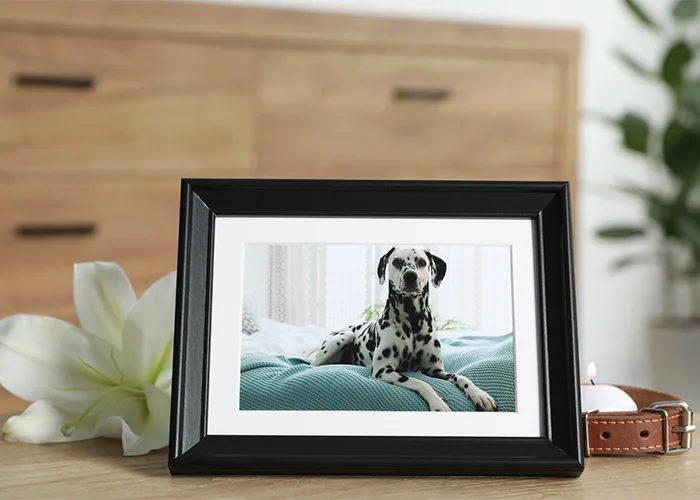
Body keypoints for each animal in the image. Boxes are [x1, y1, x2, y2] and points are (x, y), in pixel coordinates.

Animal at [310, 247, 498, 414]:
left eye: (422, 262)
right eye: (396, 261)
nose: (410, 276)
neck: (412, 319)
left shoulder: (434, 370)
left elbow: (461, 377)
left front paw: (480, 394)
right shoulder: (383, 370)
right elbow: (421, 382)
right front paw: (438, 402)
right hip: (342, 339)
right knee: (313, 366)